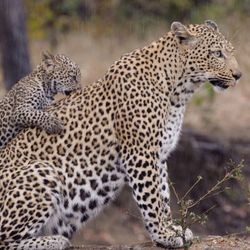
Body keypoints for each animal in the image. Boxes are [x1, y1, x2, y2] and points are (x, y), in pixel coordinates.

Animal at [0, 20, 242, 249]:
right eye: (217, 53)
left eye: (231, 51)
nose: (239, 75)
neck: (178, 91)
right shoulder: (140, 152)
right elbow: (152, 198)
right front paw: (164, 235)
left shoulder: (159, 154)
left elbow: (163, 195)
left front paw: (171, 229)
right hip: (43, 170)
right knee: (5, 240)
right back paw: (55, 240)